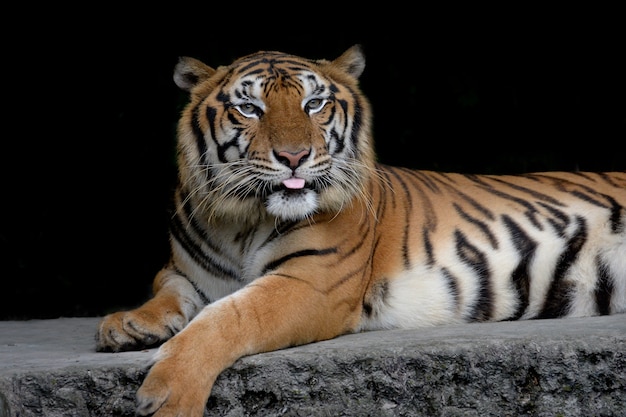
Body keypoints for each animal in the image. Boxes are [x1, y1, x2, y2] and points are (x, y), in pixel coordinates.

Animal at [94, 44, 624, 414]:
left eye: (314, 104)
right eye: (249, 109)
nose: (294, 157)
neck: (240, 220)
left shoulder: (310, 282)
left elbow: (227, 318)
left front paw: (167, 394)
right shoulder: (184, 271)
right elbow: (169, 292)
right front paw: (127, 325)